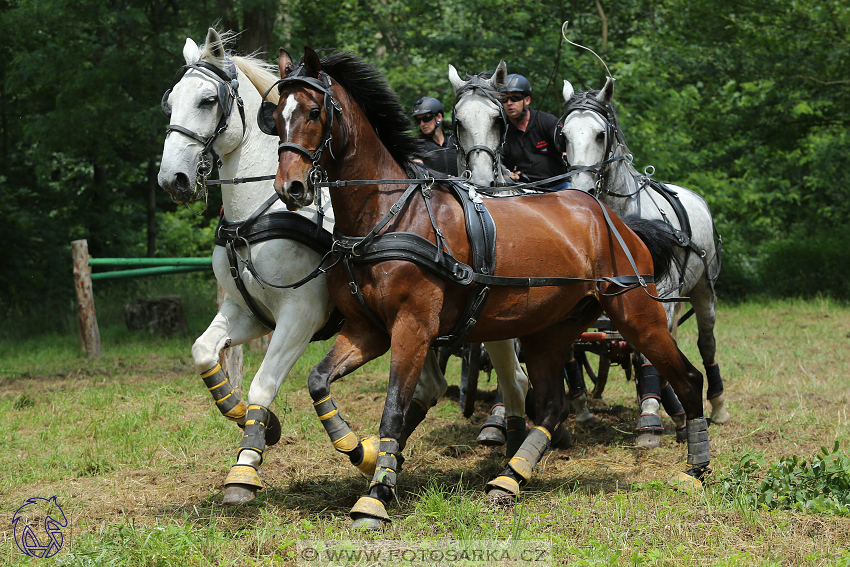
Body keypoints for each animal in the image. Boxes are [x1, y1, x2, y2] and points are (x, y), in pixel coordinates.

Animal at [157, 27, 450, 506]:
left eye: (207, 100)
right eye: (170, 102)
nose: (172, 179)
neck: (255, 215)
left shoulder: (300, 317)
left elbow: (263, 383)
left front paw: (244, 468)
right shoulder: (246, 313)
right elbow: (203, 352)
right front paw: (255, 422)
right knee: (429, 387)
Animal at [268, 46, 704, 532]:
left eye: (313, 111)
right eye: (276, 115)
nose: (290, 186)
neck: (389, 213)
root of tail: (616, 222)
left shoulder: (412, 329)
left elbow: (394, 408)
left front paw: (376, 495)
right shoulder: (369, 330)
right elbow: (317, 381)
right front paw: (360, 453)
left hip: (638, 316)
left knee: (688, 378)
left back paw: (694, 468)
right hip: (549, 331)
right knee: (551, 406)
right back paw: (509, 479)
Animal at [560, 76, 732, 444]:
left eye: (600, 134)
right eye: (563, 135)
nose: (582, 190)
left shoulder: (660, 294)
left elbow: (645, 352)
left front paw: (651, 415)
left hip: (703, 291)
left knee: (706, 343)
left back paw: (717, 405)